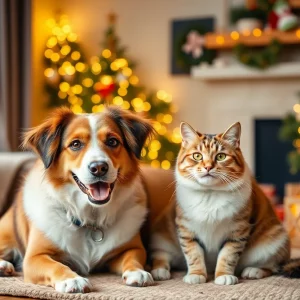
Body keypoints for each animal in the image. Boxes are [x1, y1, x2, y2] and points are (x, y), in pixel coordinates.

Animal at [0, 106, 157, 292]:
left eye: (112, 141)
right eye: (75, 144)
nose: (99, 167)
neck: (91, 218)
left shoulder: (133, 247)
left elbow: (132, 257)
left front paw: (137, 272)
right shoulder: (34, 257)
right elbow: (56, 265)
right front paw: (72, 279)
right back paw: (3, 265)